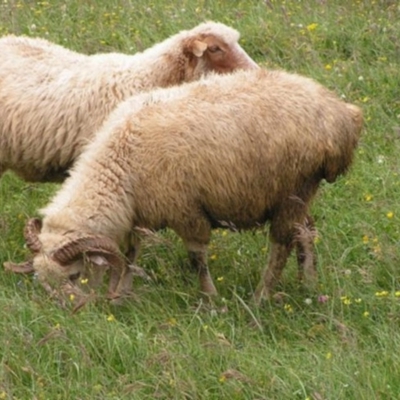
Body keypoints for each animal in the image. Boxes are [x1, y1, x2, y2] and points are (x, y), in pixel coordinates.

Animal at [4, 68, 364, 304]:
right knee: (306, 231)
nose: (70, 311)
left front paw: (210, 298)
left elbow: (197, 258)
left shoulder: (185, 210)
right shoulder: (140, 214)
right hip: (295, 193)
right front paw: (122, 293)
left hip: (293, 187)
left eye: (74, 275)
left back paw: (260, 299)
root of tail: (342, 114)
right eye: (40, 280)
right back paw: (308, 285)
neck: (121, 165)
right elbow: (131, 253)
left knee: (281, 245)